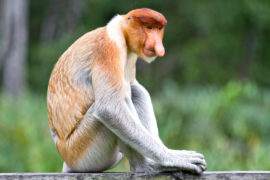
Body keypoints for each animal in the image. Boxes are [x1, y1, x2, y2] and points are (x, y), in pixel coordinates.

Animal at [47, 7, 207, 174]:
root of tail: (66, 159)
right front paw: (172, 157)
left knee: (135, 91)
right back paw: (146, 166)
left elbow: (135, 88)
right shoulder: (108, 48)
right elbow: (109, 107)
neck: (121, 32)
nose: (158, 45)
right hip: (81, 151)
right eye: (149, 27)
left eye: (159, 29)